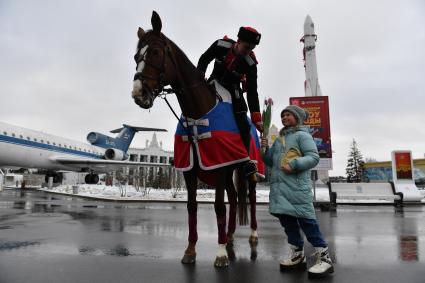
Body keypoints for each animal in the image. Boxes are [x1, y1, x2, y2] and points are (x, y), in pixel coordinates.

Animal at [132, 11, 258, 268]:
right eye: (136, 56)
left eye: (156, 52)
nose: (138, 93)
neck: (198, 111)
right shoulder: (190, 169)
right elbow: (192, 207)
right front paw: (190, 250)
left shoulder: (218, 167)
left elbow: (218, 206)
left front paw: (220, 254)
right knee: (233, 197)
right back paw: (229, 236)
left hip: (247, 171)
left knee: (248, 198)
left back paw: (251, 234)